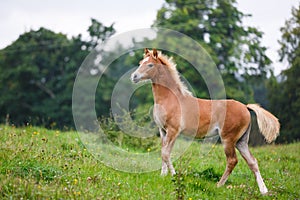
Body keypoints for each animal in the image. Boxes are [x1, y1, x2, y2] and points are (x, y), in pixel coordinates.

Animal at [130, 48, 280, 194]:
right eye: (140, 62)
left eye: (150, 65)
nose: (134, 77)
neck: (171, 99)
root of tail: (245, 107)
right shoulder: (163, 131)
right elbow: (163, 152)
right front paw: (163, 175)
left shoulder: (173, 131)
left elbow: (166, 154)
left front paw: (173, 175)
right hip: (241, 141)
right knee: (252, 162)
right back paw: (263, 190)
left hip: (228, 139)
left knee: (232, 160)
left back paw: (219, 185)